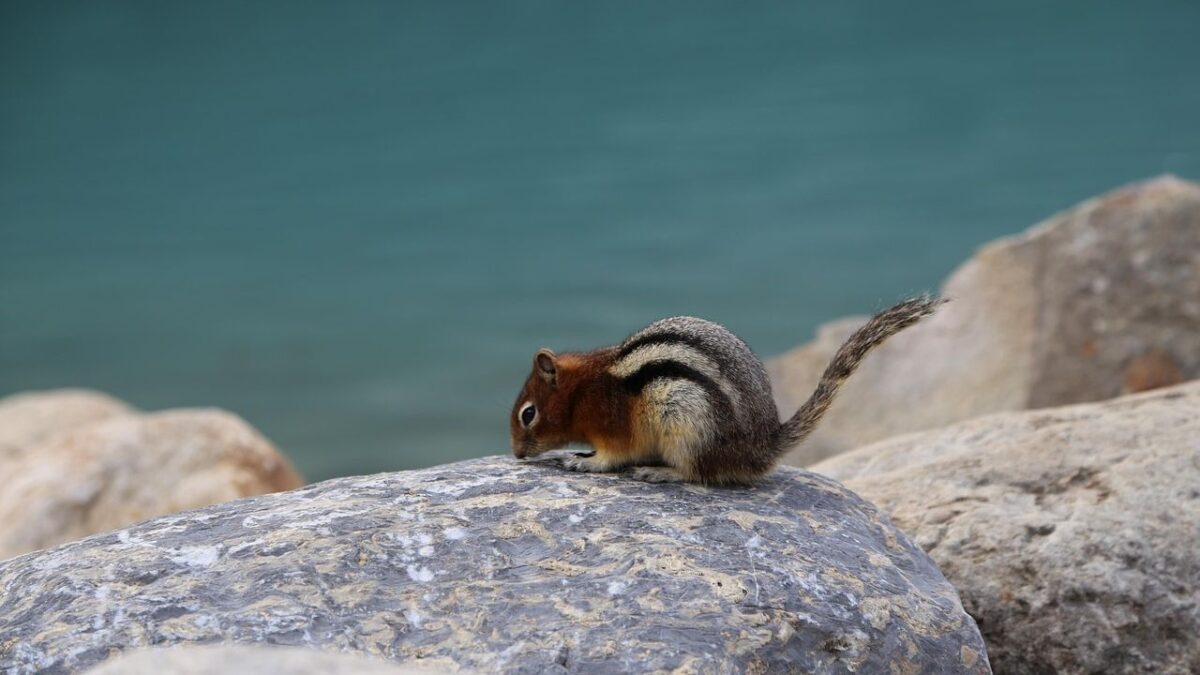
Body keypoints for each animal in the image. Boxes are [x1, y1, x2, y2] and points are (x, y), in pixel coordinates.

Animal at [510, 296, 944, 485]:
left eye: (528, 414)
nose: (515, 454)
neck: (584, 391)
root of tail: (761, 448)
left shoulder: (615, 426)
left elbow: (613, 456)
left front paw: (584, 462)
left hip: (689, 427)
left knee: (697, 474)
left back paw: (660, 471)